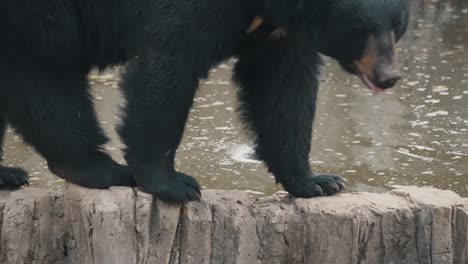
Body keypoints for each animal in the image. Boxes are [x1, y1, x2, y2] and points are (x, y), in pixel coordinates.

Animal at [0, 0, 410, 202]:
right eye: (358, 30)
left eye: (398, 25)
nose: (388, 77)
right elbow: (168, 66)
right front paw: (173, 184)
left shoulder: (279, 31)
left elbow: (284, 87)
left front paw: (317, 182)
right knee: (44, 81)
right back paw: (98, 167)